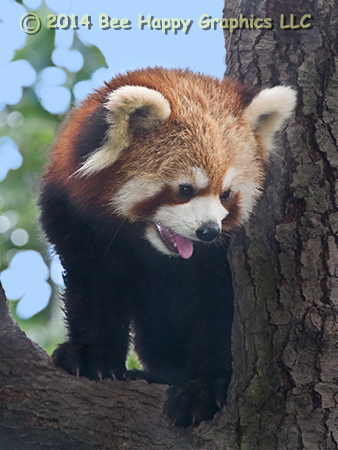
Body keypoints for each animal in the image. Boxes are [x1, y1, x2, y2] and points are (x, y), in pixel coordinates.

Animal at [39, 67, 296, 426]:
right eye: (185, 189)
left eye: (226, 194)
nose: (208, 231)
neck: (151, 250)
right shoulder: (75, 222)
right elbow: (93, 290)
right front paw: (92, 356)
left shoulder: (217, 262)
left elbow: (216, 315)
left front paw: (203, 390)